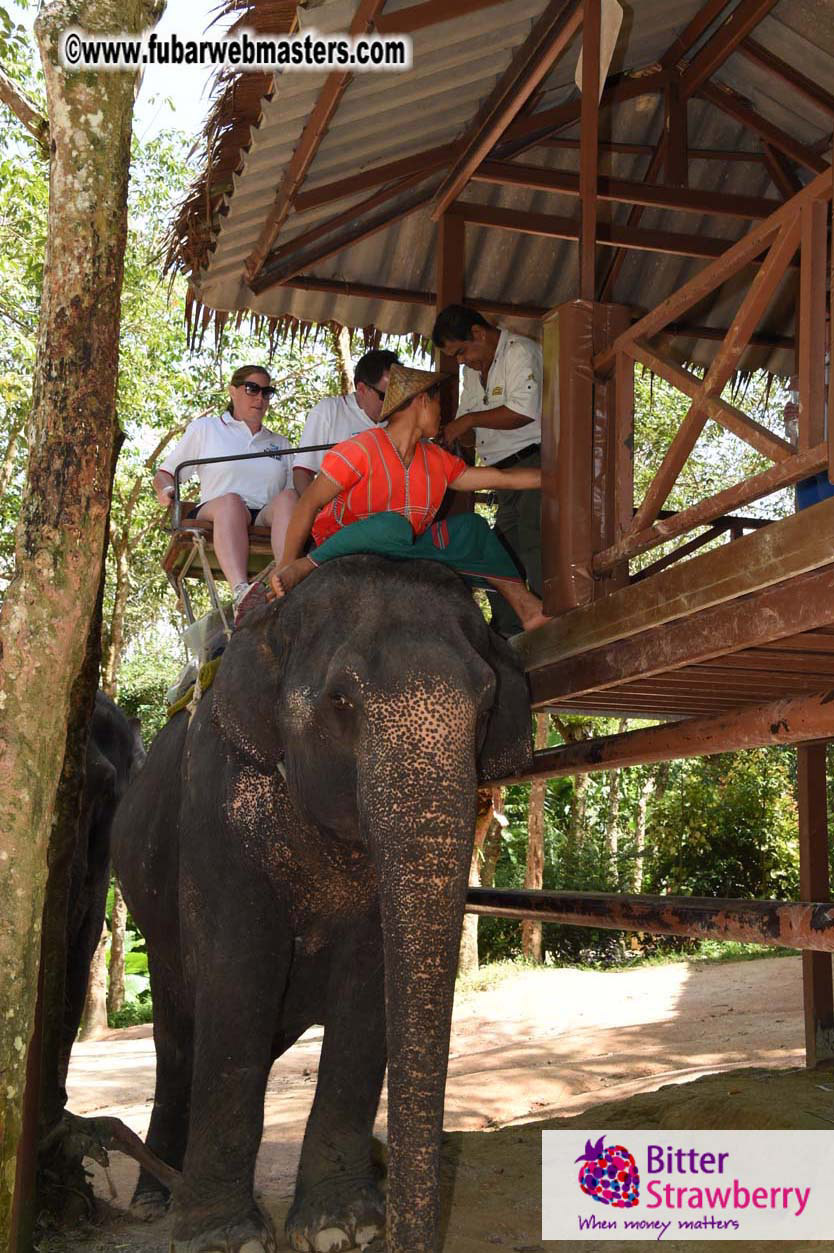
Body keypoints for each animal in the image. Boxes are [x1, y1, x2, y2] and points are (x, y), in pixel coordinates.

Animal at [111, 553, 533, 1253]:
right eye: (341, 699)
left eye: (487, 700)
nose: (407, 1236)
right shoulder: (215, 811)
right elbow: (239, 978)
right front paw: (227, 1237)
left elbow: (371, 982)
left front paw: (343, 1228)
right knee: (177, 1040)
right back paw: (154, 1200)